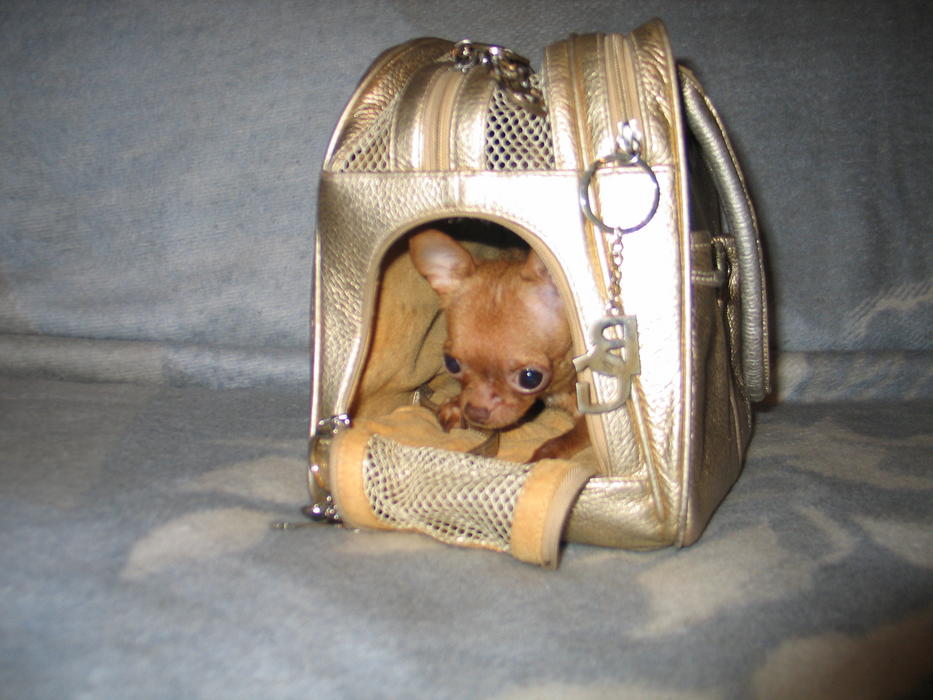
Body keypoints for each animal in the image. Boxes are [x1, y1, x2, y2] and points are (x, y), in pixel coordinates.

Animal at [408, 228, 587, 461]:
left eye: (530, 378)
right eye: (451, 364)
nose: (475, 412)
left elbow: (562, 442)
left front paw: (539, 457)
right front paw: (456, 403)